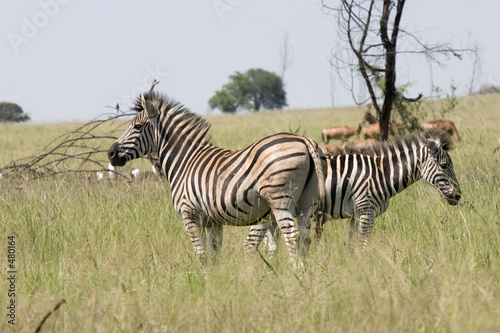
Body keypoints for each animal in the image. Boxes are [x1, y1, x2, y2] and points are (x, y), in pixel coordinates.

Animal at [108, 91, 328, 268]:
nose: (110, 153)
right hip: (307, 201)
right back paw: (303, 274)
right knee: (306, 237)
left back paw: (295, 275)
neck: (185, 161)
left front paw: (203, 282)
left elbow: (202, 255)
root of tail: (305, 140)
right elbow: (215, 255)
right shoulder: (213, 221)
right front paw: (215, 281)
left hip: (280, 200)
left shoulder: (190, 214)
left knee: (293, 237)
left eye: (137, 127)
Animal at [245, 130, 460, 252]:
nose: (458, 196)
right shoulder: (366, 211)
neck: (381, 174)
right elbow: (364, 244)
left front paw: (353, 268)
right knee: (250, 243)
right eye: (444, 165)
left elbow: (351, 245)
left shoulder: (355, 215)